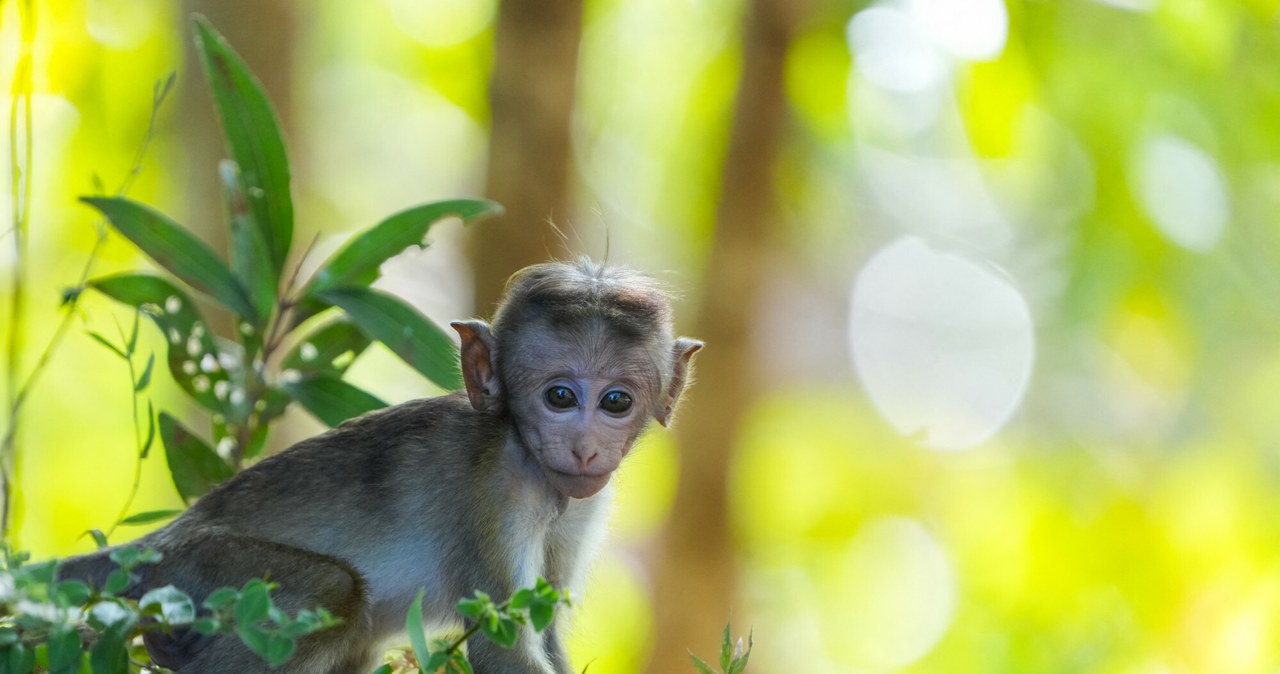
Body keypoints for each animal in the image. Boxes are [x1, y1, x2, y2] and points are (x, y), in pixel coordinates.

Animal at [57, 259, 701, 674]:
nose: (586, 448)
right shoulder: (494, 492)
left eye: (615, 402)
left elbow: (543, 629)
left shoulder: (581, 506)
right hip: (196, 565)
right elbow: (502, 647)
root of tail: (166, 537)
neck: (533, 465)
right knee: (334, 592)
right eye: (560, 397)